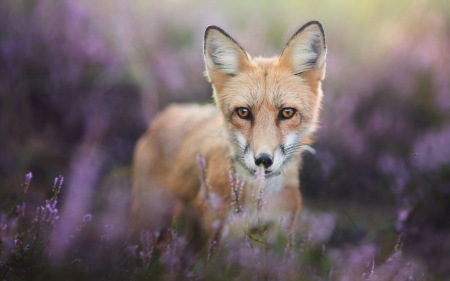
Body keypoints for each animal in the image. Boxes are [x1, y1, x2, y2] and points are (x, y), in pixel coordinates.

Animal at [130, 20, 326, 258]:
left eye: (287, 113)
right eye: (243, 112)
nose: (263, 161)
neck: (258, 200)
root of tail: (168, 111)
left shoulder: (280, 235)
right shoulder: (221, 237)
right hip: (153, 218)